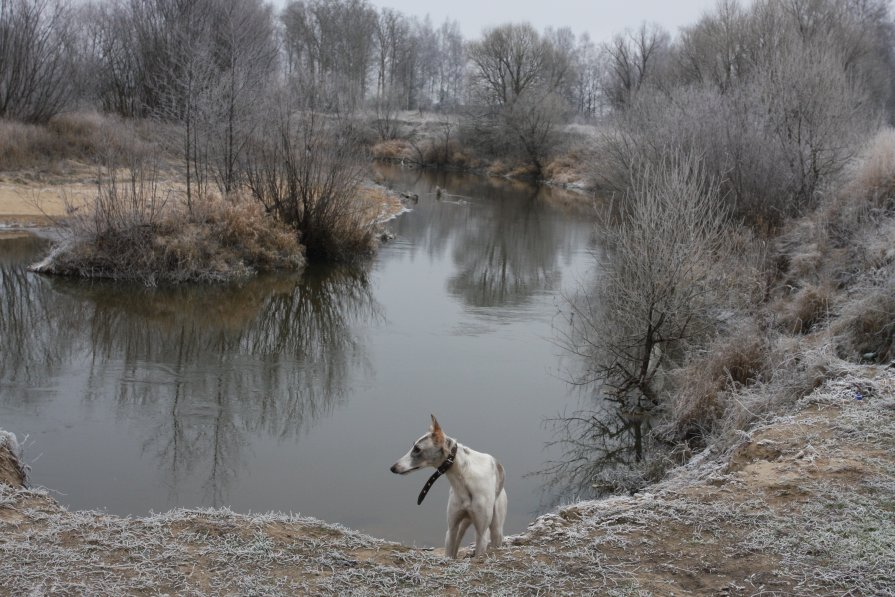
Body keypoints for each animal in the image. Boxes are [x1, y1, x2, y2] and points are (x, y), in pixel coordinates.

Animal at [390, 416, 508, 556]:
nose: (393, 468)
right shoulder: (451, 529)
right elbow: (450, 554)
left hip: (496, 529)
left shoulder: (481, 534)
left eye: (417, 449)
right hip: (462, 525)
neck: (464, 478)